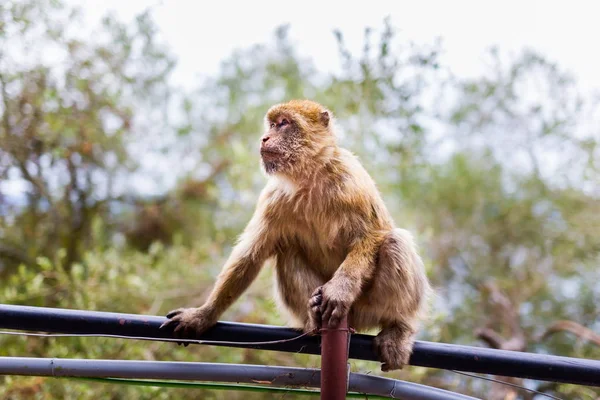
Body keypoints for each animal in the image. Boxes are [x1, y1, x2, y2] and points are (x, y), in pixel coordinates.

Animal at [161, 98, 432, 370]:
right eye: (272, 124)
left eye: (284, 123)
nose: (265, 138)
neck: (310, 176)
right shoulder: (273, 198)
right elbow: (250, 256)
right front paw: (203, 314)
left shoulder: (352, 180)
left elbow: (373, 236)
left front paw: (340, 289)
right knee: (288, 250)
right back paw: (313, 318)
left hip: (368, 308)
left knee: (395, 242)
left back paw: (399, 326)